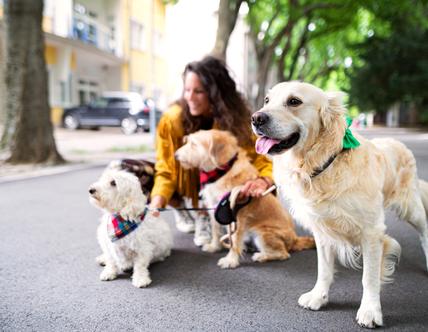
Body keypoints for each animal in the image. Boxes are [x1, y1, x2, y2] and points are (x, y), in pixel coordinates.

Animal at [174, 128, 314, 268]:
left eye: (194, 144)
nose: (175, 155)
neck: (222, 172)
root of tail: (295, 239)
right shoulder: (215, 208)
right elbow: (215, 230)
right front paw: (214, 246)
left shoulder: (236, 216)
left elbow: (234, 240)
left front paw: (230, 260)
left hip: (263, 233)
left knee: (283, 254)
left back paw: (261, 256)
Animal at [251, 81, 428, 328]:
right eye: (267, 100)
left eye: (294, 101)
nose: (256, 118)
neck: (324, 163)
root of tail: (397, 142)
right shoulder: (322, 229)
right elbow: (324, 269)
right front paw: (319, 296)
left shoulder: (372, 232)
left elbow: (369, 277)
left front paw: (370, 310)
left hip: (410, 206)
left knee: (424, 230)